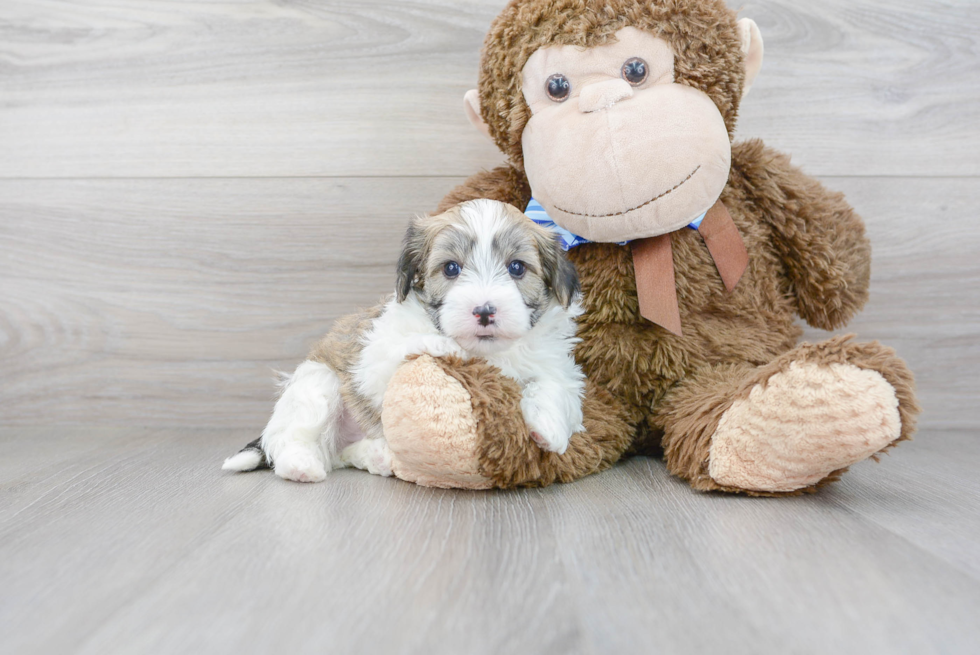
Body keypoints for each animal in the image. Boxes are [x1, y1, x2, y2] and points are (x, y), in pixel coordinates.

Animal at [222, 200, 580, 482]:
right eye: (451, 268)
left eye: (517, 267)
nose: (484, 311)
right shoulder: (371, 360)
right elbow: (405, 346)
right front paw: (448, 346)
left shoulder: (556, 363)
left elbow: (554, 383)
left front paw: (548, 427)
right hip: (317, 382)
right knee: (295, 437)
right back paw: (301, 465)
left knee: (338, 454)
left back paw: (377, 456)